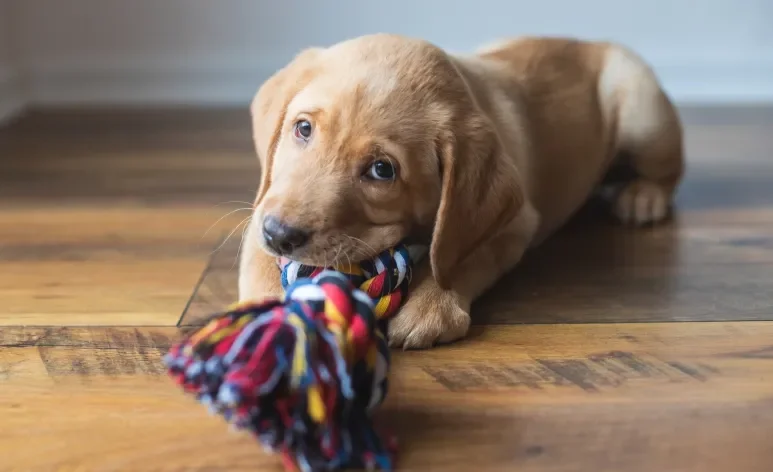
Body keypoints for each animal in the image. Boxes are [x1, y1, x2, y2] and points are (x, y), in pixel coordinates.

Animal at [240, 33, 680, 348]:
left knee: (667, 170)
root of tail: (591, 43)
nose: (280, 235)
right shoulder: (264, 204)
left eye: (382, 170)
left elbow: (460, 255)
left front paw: (432, 304)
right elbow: (257, 256)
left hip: (642, 113)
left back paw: (643, 197)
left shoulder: (516, 223)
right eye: (303, 128)